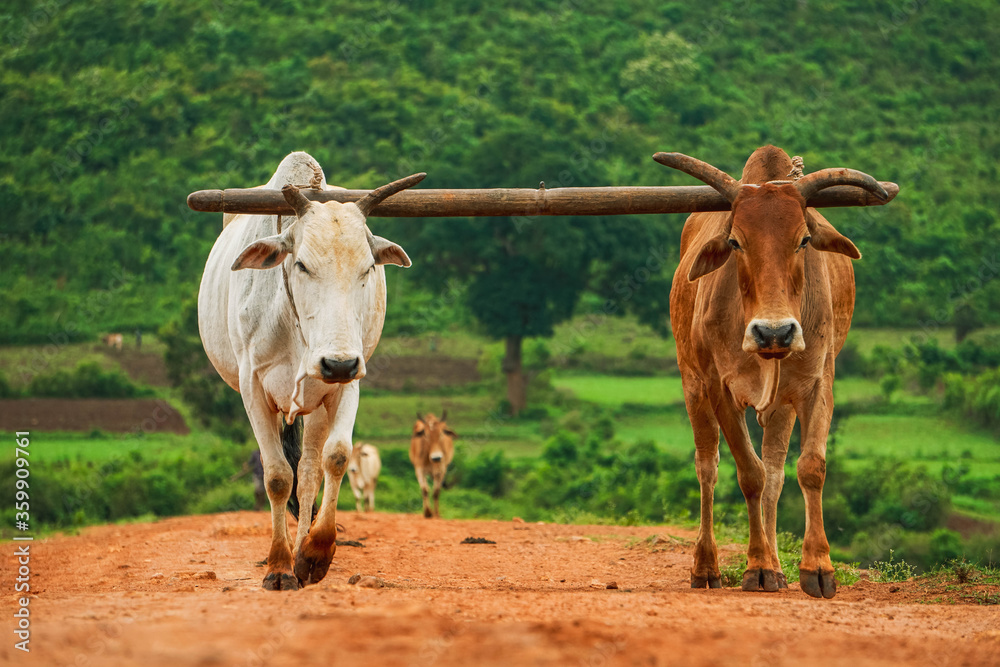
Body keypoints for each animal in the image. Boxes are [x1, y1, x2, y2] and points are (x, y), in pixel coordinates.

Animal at [198, 151, 424, 590]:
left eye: (368, 268)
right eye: (300, 264)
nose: (336, 363)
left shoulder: (349, 380)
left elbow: (334, 458)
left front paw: (315, 554)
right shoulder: (253, 389)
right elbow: (275, 476)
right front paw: (279, 567)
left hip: (319, 404)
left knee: (308, 471)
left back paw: (302, 548)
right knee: (290, 473)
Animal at [656, 145, 888, 599]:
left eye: (804, 240)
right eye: (735, 241)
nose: (774, 332)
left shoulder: (818, 384)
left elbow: (810, 468)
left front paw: (816, 567)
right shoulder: (719, 388)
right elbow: (749, 474)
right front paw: (758, 566)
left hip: (782, 405)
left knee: (776, 471)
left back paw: (779, 567)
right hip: (693, 385)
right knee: (708, 466)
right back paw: (707, 565)